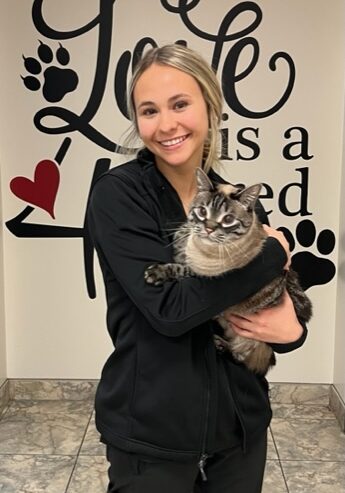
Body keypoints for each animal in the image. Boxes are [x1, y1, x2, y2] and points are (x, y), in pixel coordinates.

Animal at [144, 168, 310, 372]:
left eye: (228, 219)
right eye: (202, 211)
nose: (208, 229)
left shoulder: (204, 276)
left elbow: (179, 269)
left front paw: (157, 273)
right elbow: (183, 238)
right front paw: (184, 234)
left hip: (250, 340)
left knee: (242, 357)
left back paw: (221, 344)